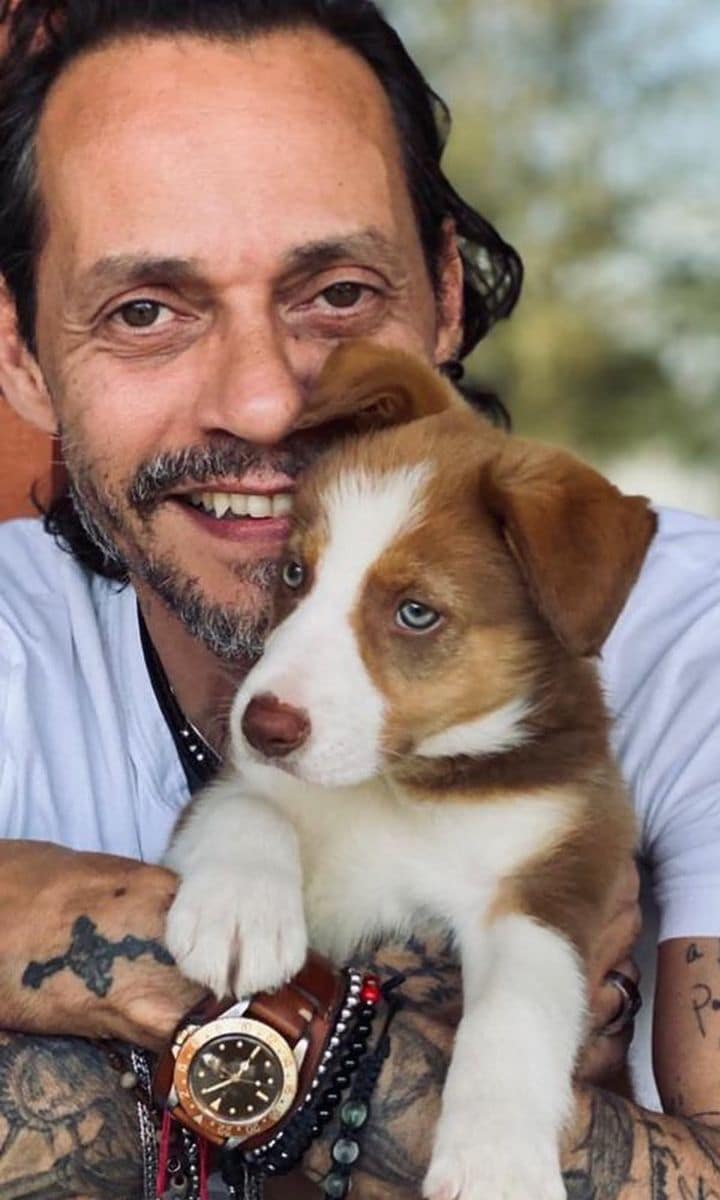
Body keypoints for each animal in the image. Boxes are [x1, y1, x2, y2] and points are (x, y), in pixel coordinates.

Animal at [165, 345, 657, 1200]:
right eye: (293, 575)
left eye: (416, 613)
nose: (263, 726)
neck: (400, 783)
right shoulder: (230, 788)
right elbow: (247, 808)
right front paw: (237, 914)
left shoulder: (558, 875)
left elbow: (518, 1008)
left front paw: (496, 1160)